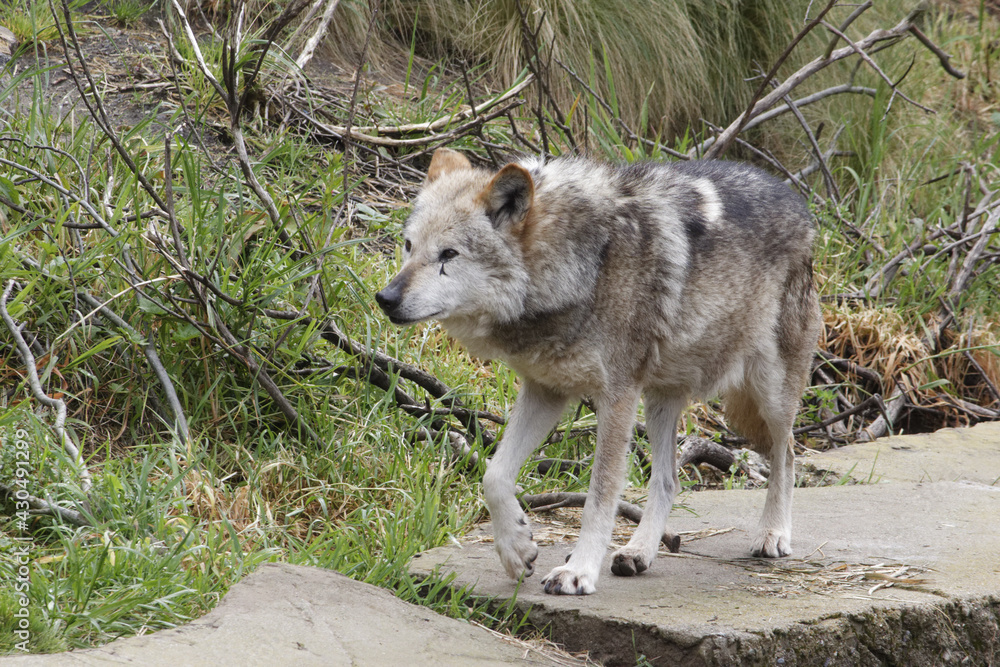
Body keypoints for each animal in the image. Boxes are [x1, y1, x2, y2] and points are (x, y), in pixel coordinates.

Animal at [376, 148, 821, 595]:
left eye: (448, 255)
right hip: (660, 400)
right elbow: (494, 475)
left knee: (787, 455)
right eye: (409, 246)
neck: (583, 264)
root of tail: (794, 197)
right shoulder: (546, 390)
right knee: (668, 480)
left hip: (770, 393)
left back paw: (773, 534)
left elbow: (600, 494)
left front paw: (578, 571)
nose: (384, 297)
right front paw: (517, 550)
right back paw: (638, 552)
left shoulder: (617, 397)